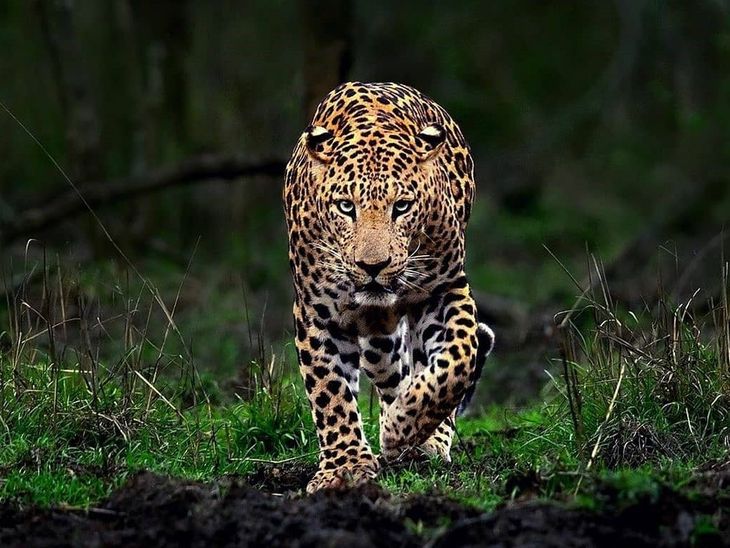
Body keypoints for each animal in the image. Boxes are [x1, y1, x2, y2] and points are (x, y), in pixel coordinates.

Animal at [283, 81, 494, 493]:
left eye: (402, 206)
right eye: (345, 206)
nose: (372, 266)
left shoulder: (444, 288)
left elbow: (459, 359)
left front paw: (403, 428)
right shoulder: (317, 312)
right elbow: (330, 392)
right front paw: (345, 467)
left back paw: (423, 439)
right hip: (378, 340)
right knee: (391, 372)